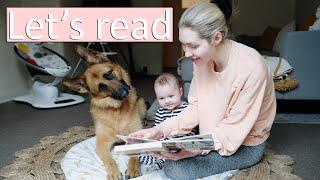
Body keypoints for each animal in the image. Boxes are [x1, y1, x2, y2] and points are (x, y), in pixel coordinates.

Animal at [62, 45, 148, 179]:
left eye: (108, 74)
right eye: (102, 87)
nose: (124, 93)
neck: (117, 110)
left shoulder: (135, 137)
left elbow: (134, 155)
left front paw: (133, 168)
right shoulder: (102, 144)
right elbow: (108, 160)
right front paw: (113, 172)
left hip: (142, 103)